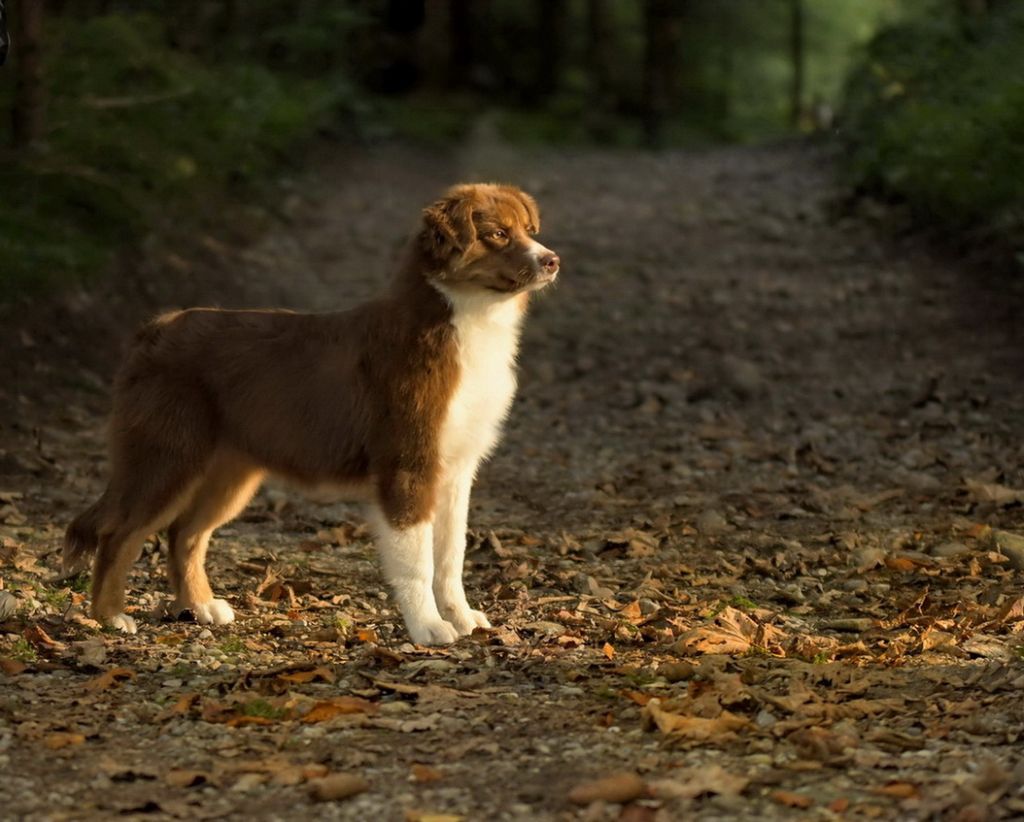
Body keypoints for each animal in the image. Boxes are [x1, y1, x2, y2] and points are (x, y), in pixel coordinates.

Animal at [61, 183, 561, 646]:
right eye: (498, 234)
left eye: (529, 230)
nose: (552, 260)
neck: (464, 318)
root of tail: (153, 329)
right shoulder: (407, 464)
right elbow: (416, 559)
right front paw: (429, 627)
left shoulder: (456, 469)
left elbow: (450, 556)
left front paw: (461, 617)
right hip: (167, 455)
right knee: (120, 532)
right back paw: (111, 616)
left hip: (228, 472)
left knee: (185, 533)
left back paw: (200, 605)